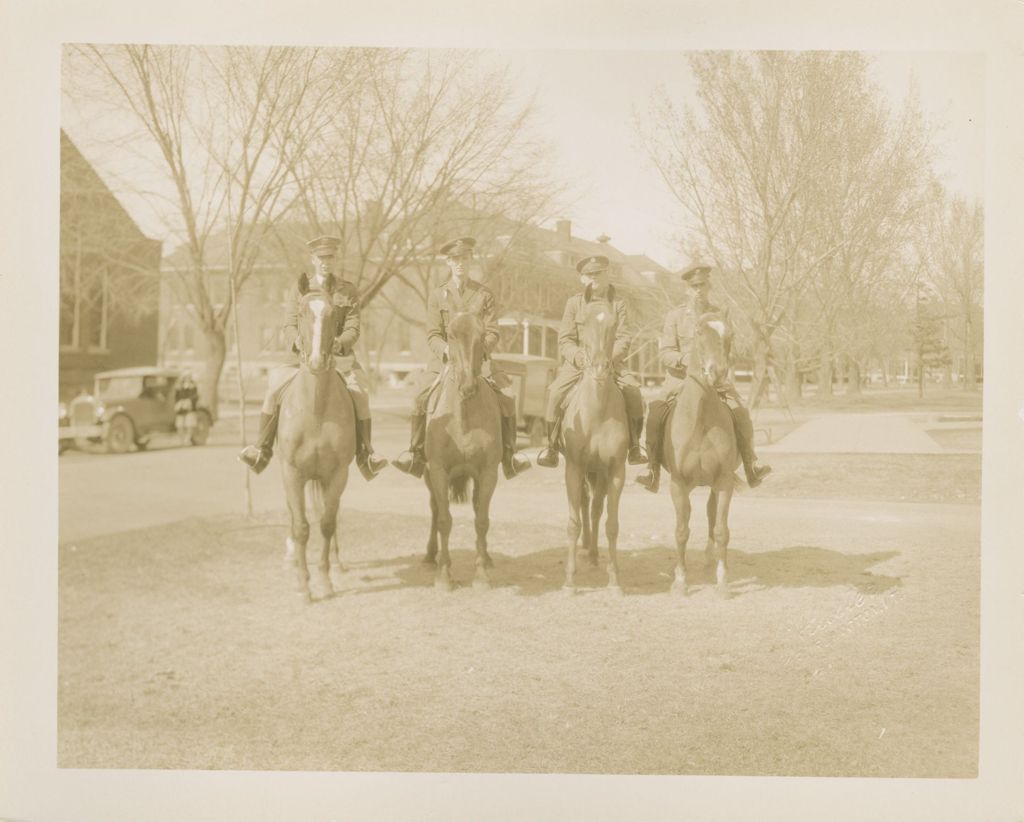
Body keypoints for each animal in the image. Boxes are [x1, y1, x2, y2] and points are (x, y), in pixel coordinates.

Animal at [423, 311, 503, 589]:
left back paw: (487, 558)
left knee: (478, 508)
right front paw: (444, 576)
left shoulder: (488, 472)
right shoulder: (438, 471)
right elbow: (444, 520)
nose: (468, 386)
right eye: (451, 335)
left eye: (482, 336)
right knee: (435, 508)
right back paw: (431, 555)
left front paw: (481, 575)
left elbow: (481, 520)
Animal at [659, 311, 741, 593]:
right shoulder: (678, 484)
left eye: (730, 334)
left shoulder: (725, 481)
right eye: (698, 332)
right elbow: (681, 531)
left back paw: (709, 556)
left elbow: (722, 530)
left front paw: (723, 582)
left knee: (711, 513)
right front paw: (680, 581)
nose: (718, 373)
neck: (701, 416)